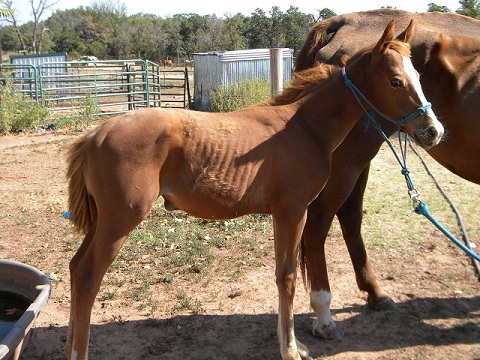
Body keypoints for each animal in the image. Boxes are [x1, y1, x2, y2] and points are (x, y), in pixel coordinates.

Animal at [63, 21, 442, 360]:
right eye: (395, 81)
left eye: (419, 76)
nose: (434, 130)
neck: (303, 127)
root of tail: (95, 135)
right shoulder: (292, 211)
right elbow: (287, 276)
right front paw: (290, 349)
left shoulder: (284, 214)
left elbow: (282, 273)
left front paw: (292, 342)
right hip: (120, 221)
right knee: (88, 276)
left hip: (104, 221)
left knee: (75, 267)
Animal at [294, 9, 478, 340]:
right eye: (395, 81)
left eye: (419, 76)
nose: (434, 131)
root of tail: (344, 20)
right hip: (347, 164)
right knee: (317, 226)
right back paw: (325, 317)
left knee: (349, 216)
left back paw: (376, 294)